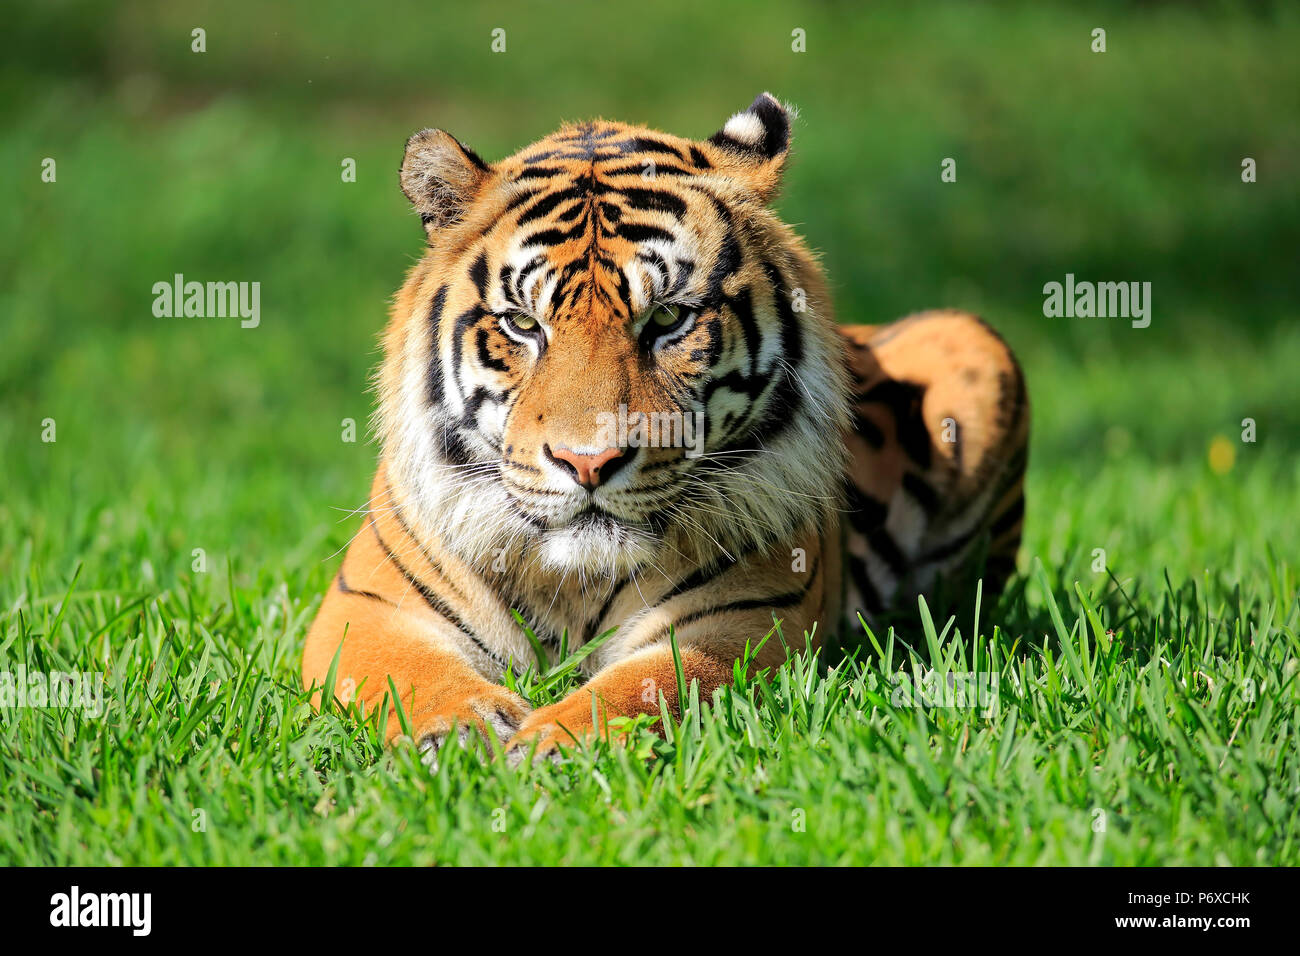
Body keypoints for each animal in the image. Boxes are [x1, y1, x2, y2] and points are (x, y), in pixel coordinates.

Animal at [301, 93, 1024, 764]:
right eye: (523, 325)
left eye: (669, 319)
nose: (587, 463)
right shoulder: (368, 609)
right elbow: (411, 673)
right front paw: (460, 733)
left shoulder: (744, 622)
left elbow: (643, 687)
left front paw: (551, 745)